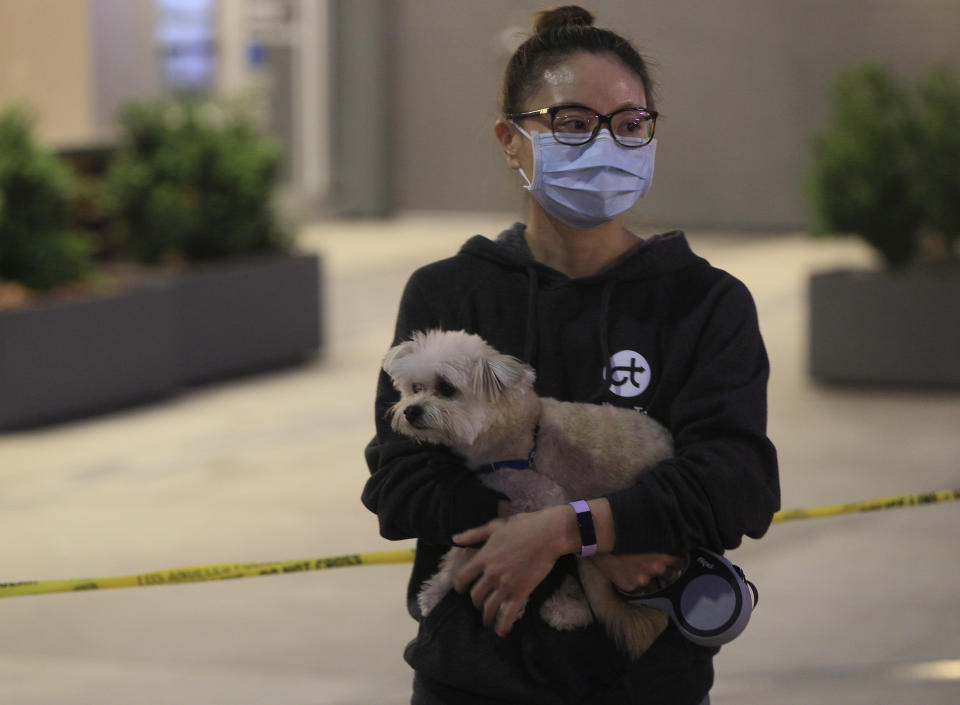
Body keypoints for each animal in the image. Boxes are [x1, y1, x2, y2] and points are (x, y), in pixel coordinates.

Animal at [382, 328, 676, 656]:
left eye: (446, 388)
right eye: (416, 387)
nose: (410, 410)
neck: (517, 432)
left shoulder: (544, 500)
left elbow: (494, 555)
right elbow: (461, 552)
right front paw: (438, 590)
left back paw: (567, 609)